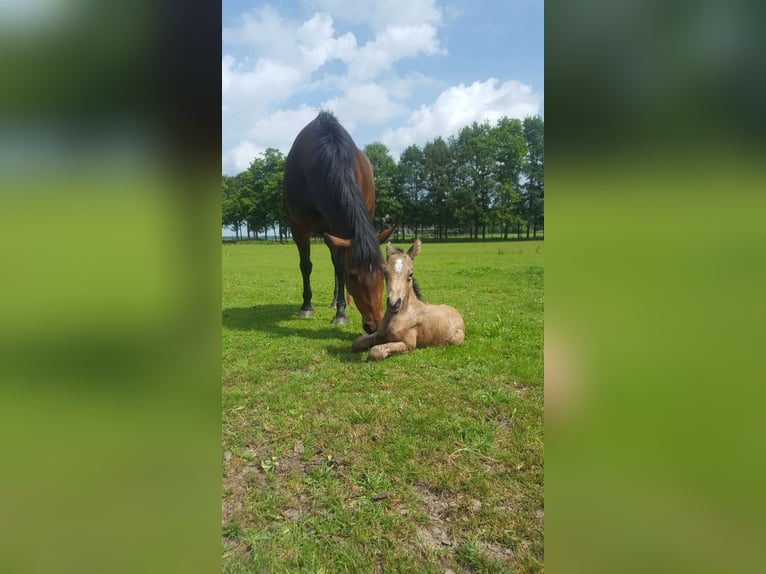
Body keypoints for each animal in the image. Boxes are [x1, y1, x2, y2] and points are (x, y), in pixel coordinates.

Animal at [282, 111, 396, 332]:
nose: (374, 325)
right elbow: (306, 265)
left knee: (336, 263)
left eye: (383, 272)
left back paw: (337, 302)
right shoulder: (297, 227)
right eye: (353, 275)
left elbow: (339, 267)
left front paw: (341, 313)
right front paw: (306, 307)